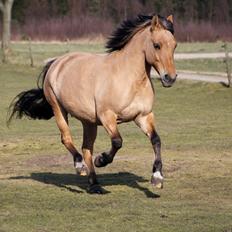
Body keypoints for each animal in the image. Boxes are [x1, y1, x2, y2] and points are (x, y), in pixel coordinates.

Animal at [8, 13, 177, 193]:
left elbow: (156, 140)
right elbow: (117, 141)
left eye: (174, 45)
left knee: (86, 148)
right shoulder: (107, 116)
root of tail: (57, 62)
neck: (129, 78)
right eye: (157, 45)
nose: (170, 78)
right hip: (59, 109)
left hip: (88, 121)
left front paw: (157, 178)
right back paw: (80, 166)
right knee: (67, 138)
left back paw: (94, 184)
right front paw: (101, 160)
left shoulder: (143, 116)